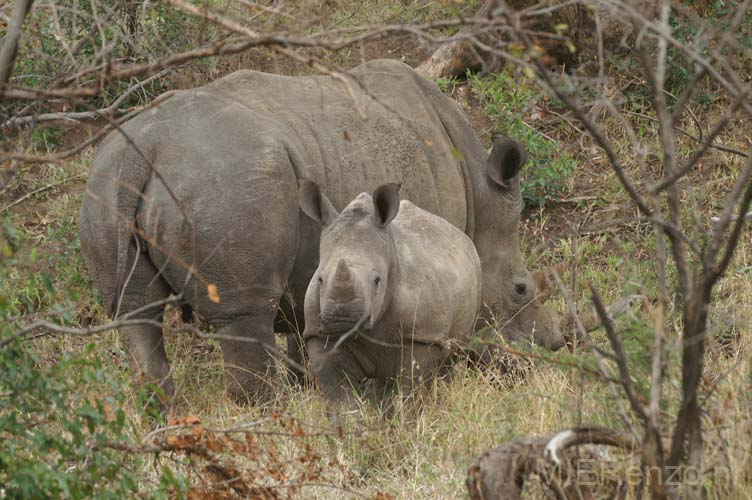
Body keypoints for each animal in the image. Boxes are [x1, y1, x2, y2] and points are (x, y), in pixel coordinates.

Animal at [300, 182, 482, 412]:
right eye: (320, 279)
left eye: (377, 280)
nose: (342, 319)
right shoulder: (320, 333)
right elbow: (340, 398)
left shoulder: (422, 336)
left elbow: (410, 391)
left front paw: (407, 420)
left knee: (450, 361)